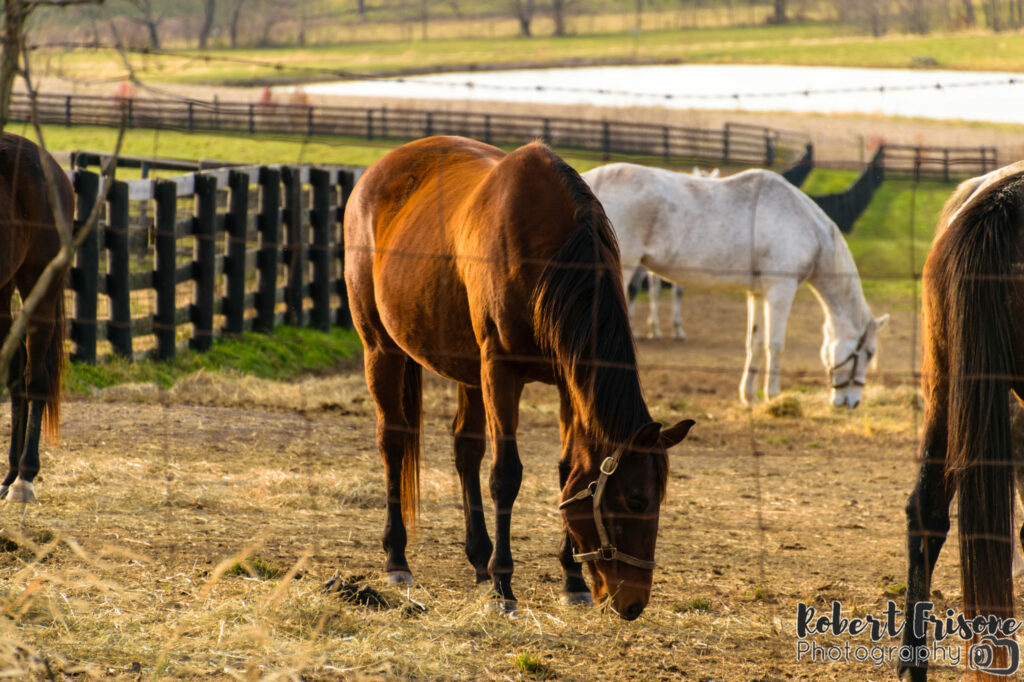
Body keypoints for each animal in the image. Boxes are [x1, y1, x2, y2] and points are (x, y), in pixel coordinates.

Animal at [346, 135, 696, 618]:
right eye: (635, 499)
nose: (632, 602)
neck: (551, 255)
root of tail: (376, 173)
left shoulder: (567, 380)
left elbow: (567, 471)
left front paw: (571, 580)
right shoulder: (501, 371)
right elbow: (505, 475)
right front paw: (503, 586)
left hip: (466, 369)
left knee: (465, 450)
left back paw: (478, 558)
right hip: (381, 349)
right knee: (393, 441)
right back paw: (398, 559)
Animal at [585, 161, 888, 405]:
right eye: (869, 353)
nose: (852, 402)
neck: (804, 225)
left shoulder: (758, 294)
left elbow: (755, 342)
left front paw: (749, 395)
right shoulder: (781, 291)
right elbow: (775, 344)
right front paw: (773, 396)